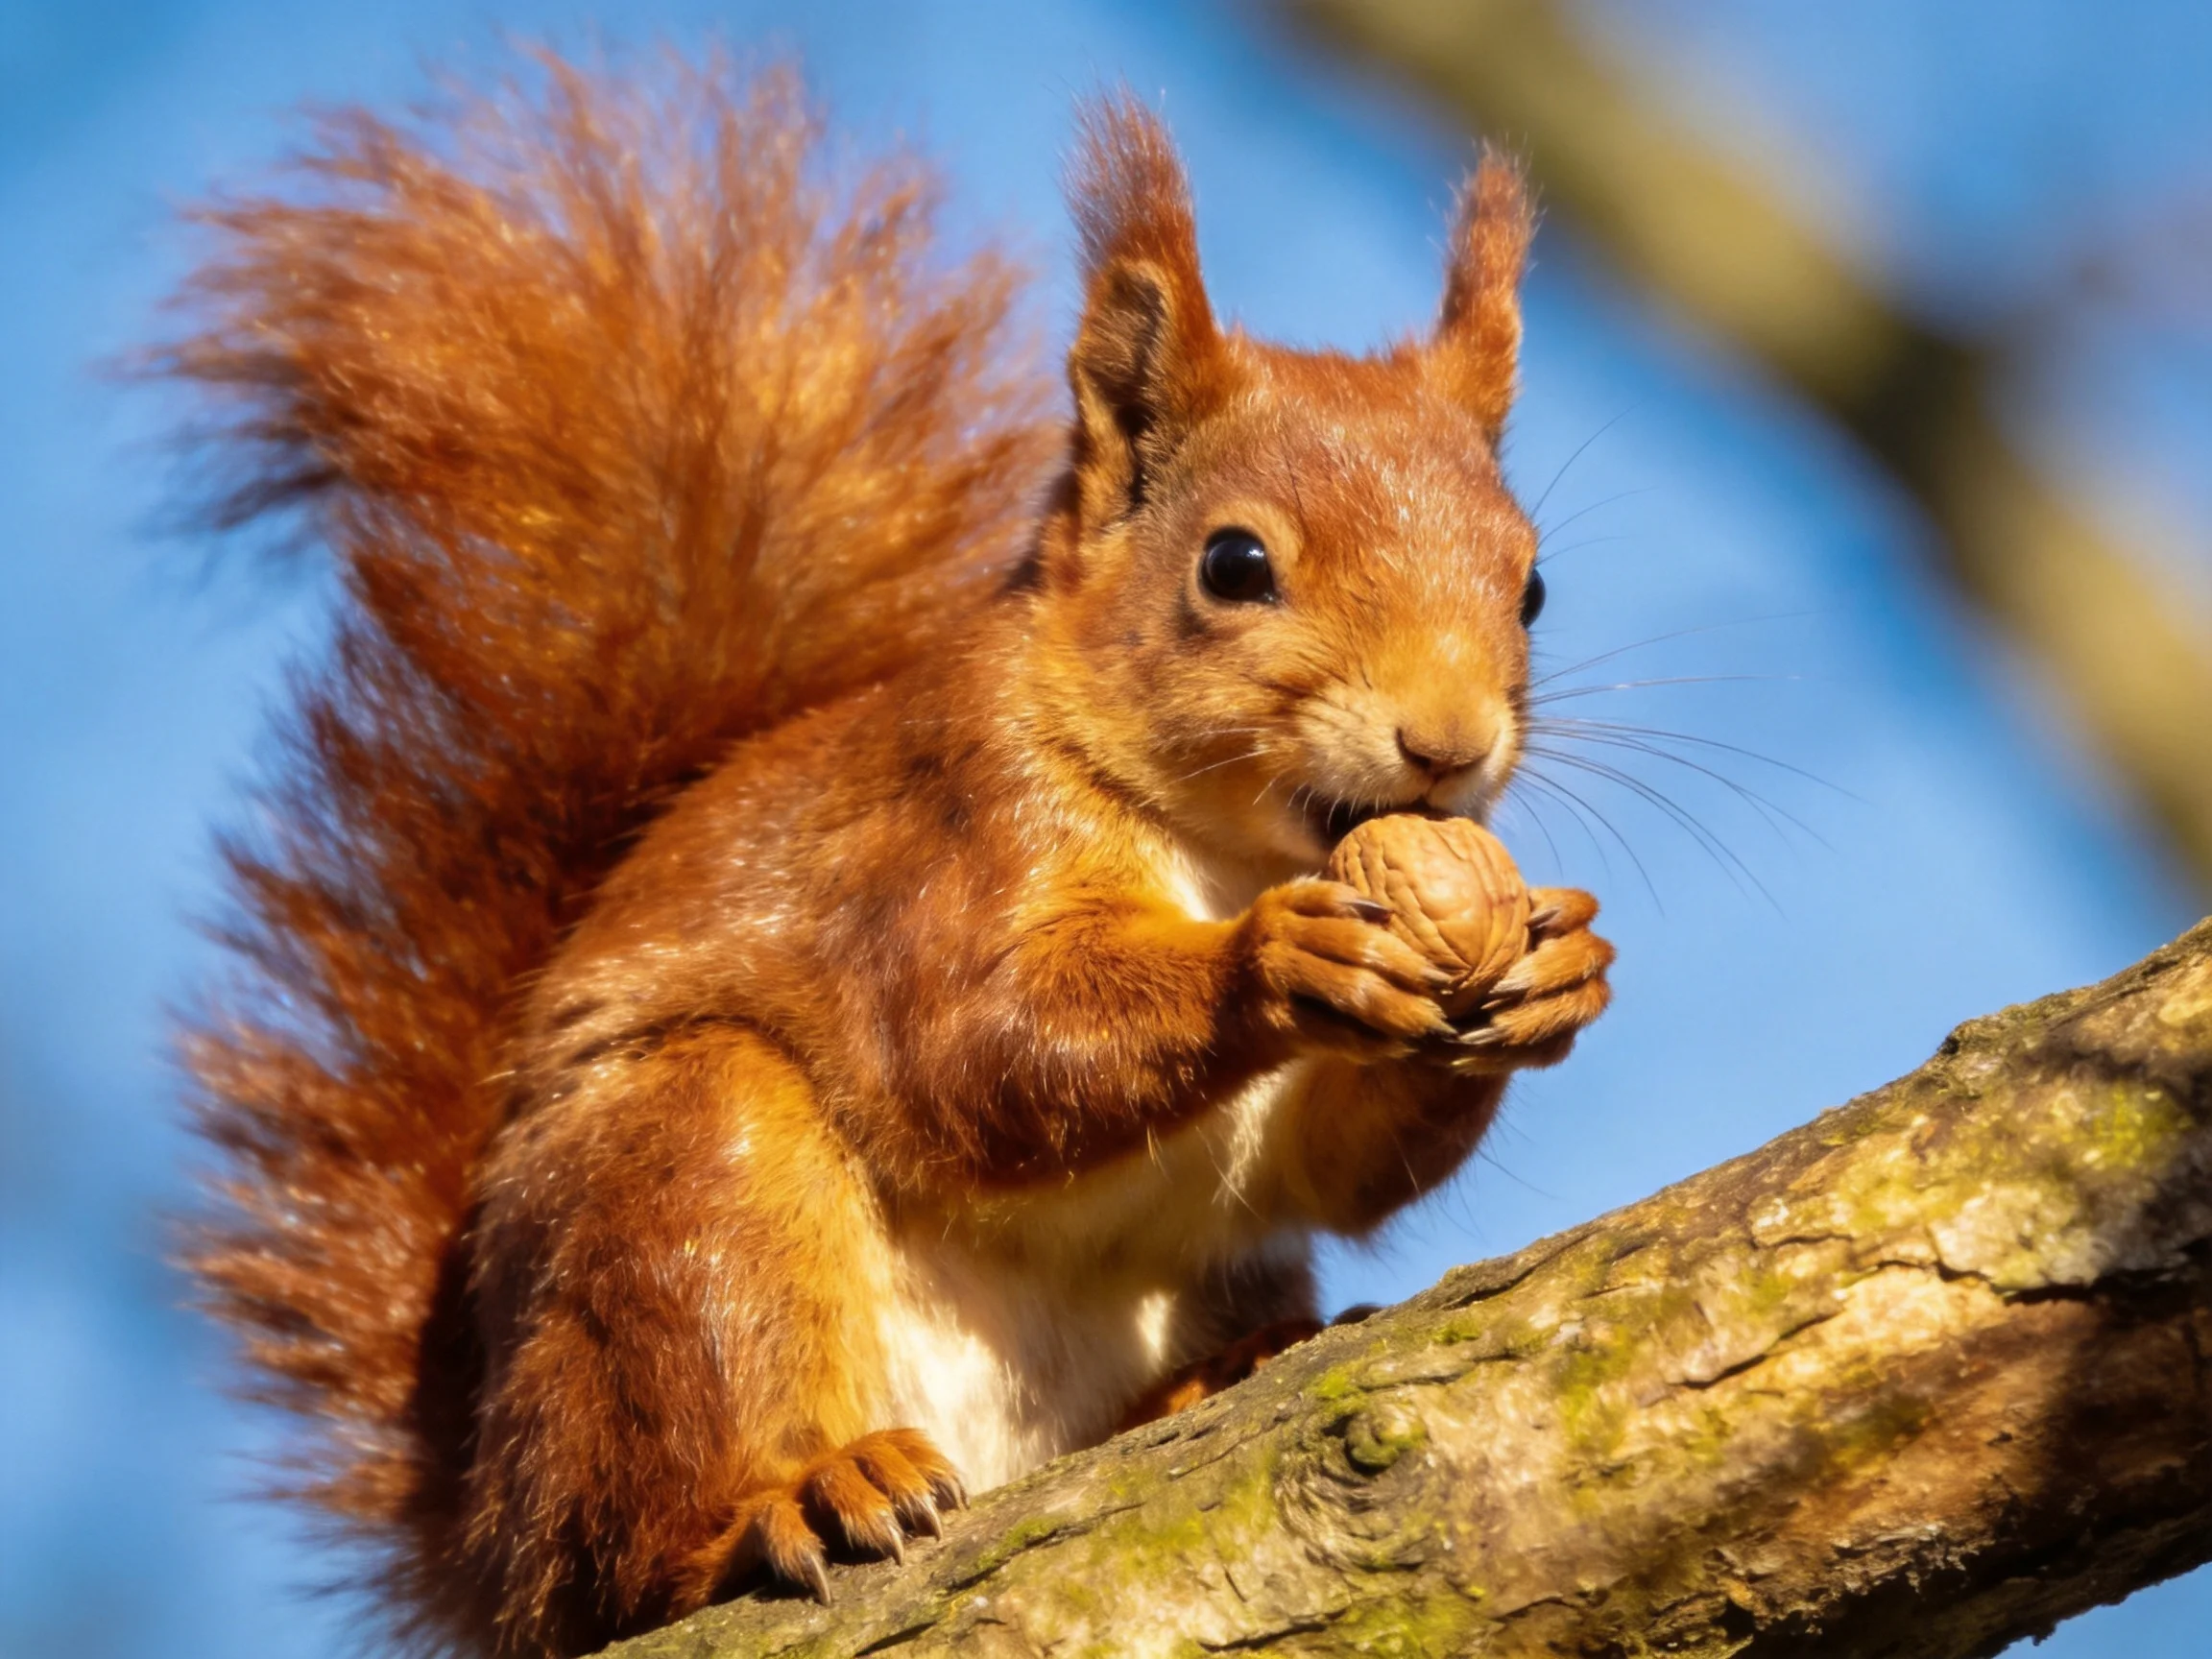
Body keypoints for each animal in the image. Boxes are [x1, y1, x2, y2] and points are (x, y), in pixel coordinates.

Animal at [168, 57, 1613, 1659]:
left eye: (1533, 586)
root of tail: (488, 1539)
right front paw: (1278, 961)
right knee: (644, 1540)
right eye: (1233, 566)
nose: (1449, 742)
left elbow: (1333, 1172)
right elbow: (976, 1051)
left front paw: (1560, 972)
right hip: (678, 1192)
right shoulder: (946, 828)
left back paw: (1212, 1376)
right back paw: (790, 1498)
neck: (1227, 846)